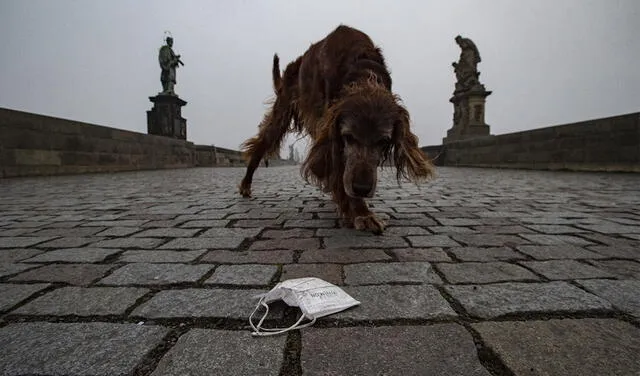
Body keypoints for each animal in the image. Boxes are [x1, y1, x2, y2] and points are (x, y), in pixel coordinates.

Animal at [240, 25, 436, 234]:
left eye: (383, 141)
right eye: (348, 136)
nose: (361, 188)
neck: (362, 70)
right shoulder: (334, 132)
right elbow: (340, 166)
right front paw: (361, 213)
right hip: (281, 115)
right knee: (259, 148)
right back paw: (246, 185)